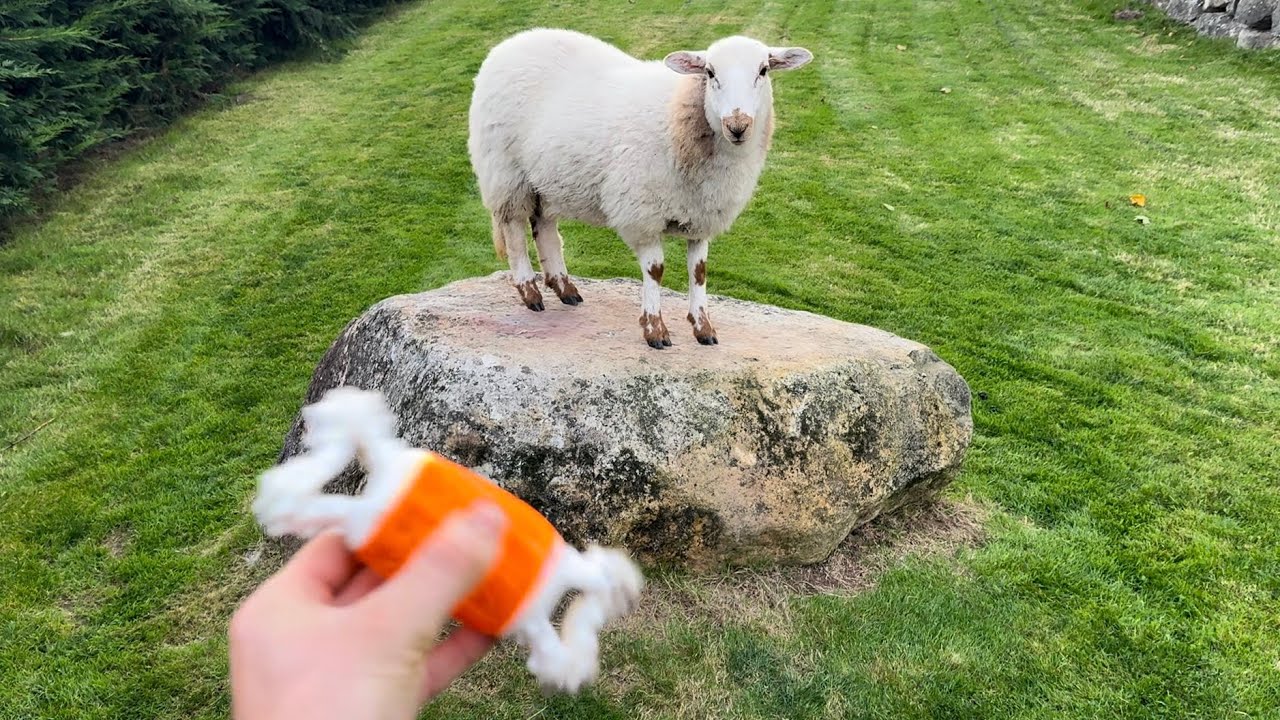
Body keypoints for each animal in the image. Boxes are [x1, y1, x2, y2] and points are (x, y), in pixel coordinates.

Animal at [467, 28, 813, 349]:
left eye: (763, 70)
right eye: (710, 73)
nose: (737, 126)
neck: (676, 119)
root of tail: (512, 42)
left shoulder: (702, 216)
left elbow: (699, 271)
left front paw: (703, 328)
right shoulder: (642, 215)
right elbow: (656, 271)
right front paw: (654, 329)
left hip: (548, 178)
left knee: (545, 226)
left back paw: (565, 288)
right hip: (506, 173)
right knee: (514, 229)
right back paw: (530, 291)